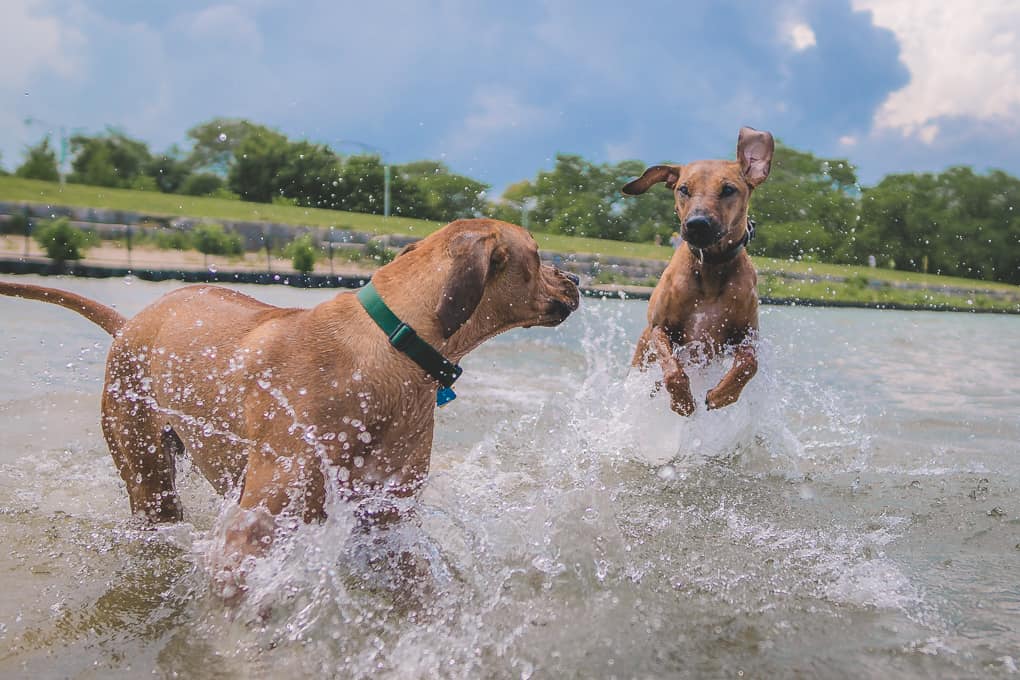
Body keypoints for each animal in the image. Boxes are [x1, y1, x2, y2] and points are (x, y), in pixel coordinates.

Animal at [0, 221, 579, 591]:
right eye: (537, 253)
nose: (577, 279)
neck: (393, 346)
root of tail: (128, 323)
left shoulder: (388, 524)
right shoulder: (255, 527)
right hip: (146, 471)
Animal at [620, 126, 771, 415]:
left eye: (728, 189)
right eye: (683, 189)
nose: (697, 224)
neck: (710, 266)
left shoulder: (746, 335)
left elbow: (749, 364)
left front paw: (722, 394)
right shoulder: (660, 327)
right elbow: (671, 368)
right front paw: (682, 401)